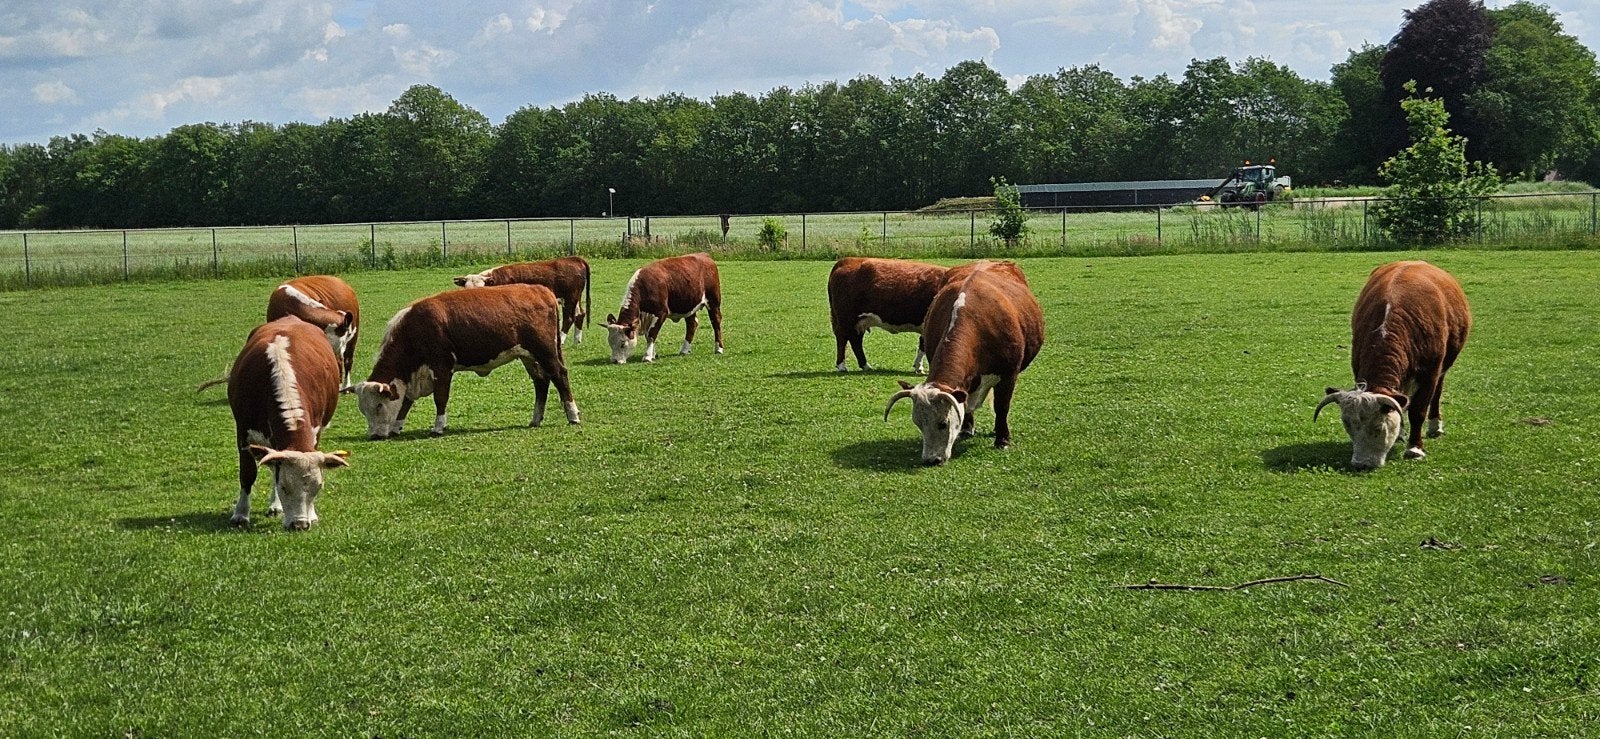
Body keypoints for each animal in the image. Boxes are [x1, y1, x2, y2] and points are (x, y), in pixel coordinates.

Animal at [227, 315, 350, 530]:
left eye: (318, 487)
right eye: (284, 487)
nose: (299, 524)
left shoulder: (315, 433)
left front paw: (312, 514)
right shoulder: (243, 433)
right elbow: (248, 474)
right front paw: (241, 514)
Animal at [343, 284, 580, 439]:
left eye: (379, 406)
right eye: (363, 409)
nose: (374, 435)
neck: (415, 328)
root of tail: (541, 290)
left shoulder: (441, 367)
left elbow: (440, 398)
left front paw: (438, 427)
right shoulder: (412, 376)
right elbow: (406, 402)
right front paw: (397, 427)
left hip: (545, 351)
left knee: (560, 375)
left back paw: (573, 414)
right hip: (529, 356)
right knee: (541, 382)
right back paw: (536, 419)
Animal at [454, 256, 592, 344]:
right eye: (466, 288)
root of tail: (574, 259)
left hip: (570, 298)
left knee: (569, 318)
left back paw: (561, 340)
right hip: (575, 297)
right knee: (580, 314)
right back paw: (577, 340)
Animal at [884, 263, 1045, 465]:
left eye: (943, 423)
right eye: (917, 423)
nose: (931, 460)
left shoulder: (1009, 374)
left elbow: (1002, 406)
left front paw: (1002, 439)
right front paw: (967, 428)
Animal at [1315, 260, 1471, 470]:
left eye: (1379, 427)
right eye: (1347, 425)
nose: (1362, 464)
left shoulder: (1430, 373)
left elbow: (1417, 410)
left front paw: (1415, 448)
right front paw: (1401, 434)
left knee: (1437, 392)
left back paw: (1434, 425)